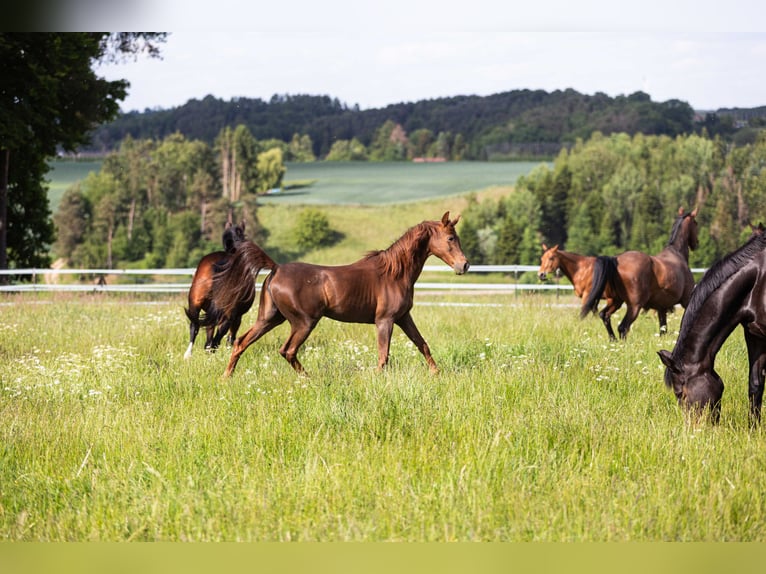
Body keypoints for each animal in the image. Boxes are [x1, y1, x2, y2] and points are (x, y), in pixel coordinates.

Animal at [183, 221, 252, 359]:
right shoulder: (237, 316)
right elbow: (230, 337)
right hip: (228, 315)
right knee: (218, 338)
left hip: (195, 304)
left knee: (195, 326)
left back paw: (188, 355)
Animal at [209, 212, 469, 377]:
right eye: (450, 238)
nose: (464, 265)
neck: (394, 273)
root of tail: (276, 268)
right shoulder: (384, 321)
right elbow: (383, 356)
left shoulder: (404, 317)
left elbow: (422, 344)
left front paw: (437, 373)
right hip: (303, 322)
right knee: (287, 350)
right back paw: (309, 378)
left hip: (270, 318)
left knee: (241, 342)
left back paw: (226, 377)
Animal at [583, 207, 698, 340]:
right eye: (696, 223)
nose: (697, 243)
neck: (676, 253)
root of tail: (616, 260)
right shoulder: (686, 301)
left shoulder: (662, 307)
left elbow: (663, 330)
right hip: (634, 306)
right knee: (623, 327)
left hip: (615, 301)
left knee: (604, 315)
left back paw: (613, 340)